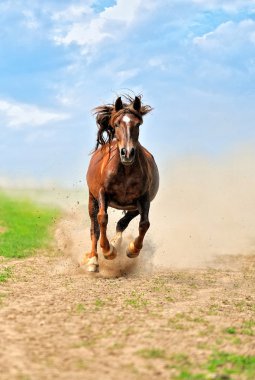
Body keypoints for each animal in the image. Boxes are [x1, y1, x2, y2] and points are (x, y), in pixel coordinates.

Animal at [84, 95, 158, 274]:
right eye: (117, 124)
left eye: (137, 124)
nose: (127, 153)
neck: (125, 171)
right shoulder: (102, 194)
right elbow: (102, 219)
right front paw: (108, 251)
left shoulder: (144, 198)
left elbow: (144, 224)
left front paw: (132, 249)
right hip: (92, 199)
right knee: (94, 229)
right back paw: (94, 260)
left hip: (134, 206)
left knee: (123, 222)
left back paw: (116, 242)